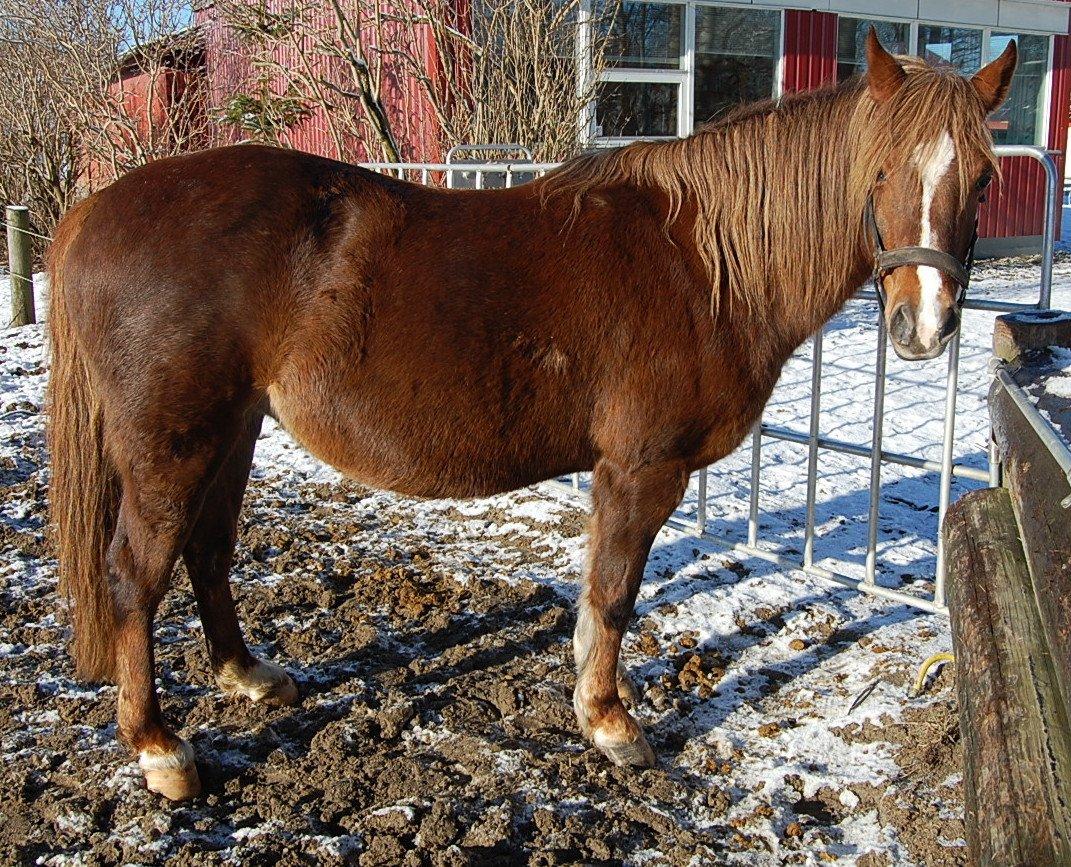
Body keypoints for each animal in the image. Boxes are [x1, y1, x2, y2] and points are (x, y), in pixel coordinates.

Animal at [50, 37, 1015, 800]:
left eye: (981, 178)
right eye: (880, 172)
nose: (926, 326)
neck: (701, 263)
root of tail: (95, 208)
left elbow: (595, 596)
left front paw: (593, 702)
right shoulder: (642, 469)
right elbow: (616, 595)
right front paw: (612, 724)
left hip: (233, 431)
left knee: (208, 551)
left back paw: (248, 675)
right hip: (172, 445)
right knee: (134, 575)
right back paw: (160, 750)